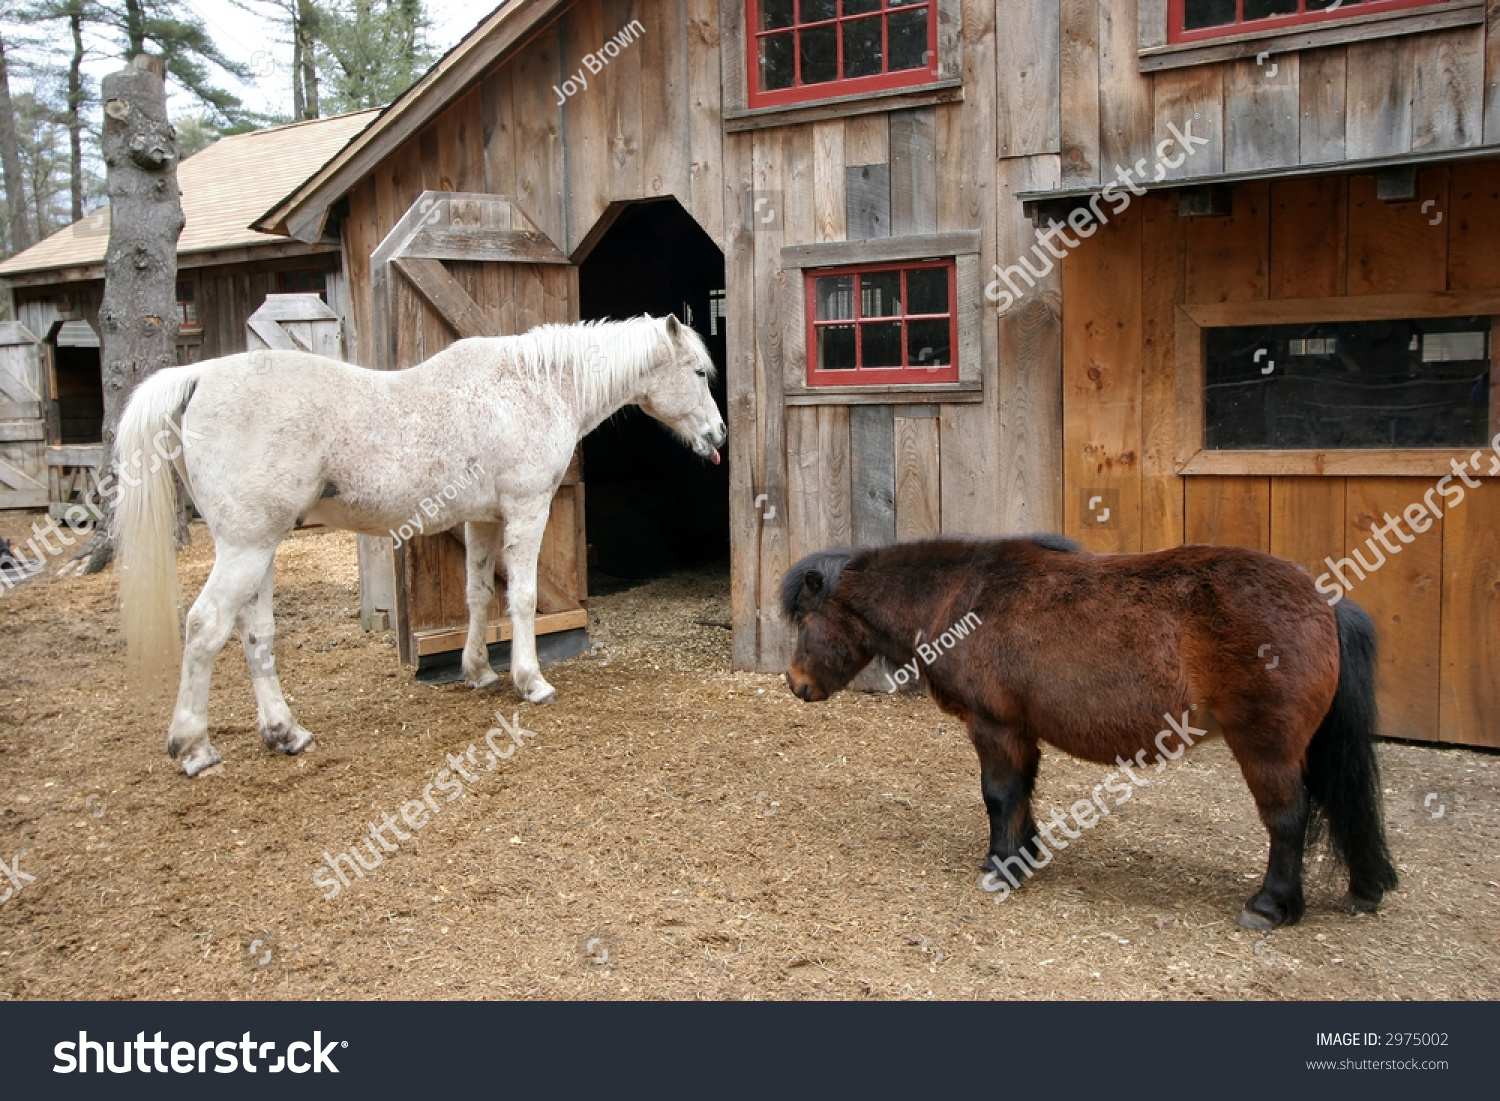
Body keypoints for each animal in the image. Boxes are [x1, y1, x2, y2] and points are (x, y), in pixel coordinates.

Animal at [117, 312, 726, 774]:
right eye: (699, 371)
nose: (718, 434)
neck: (532, 387)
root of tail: (198, 376)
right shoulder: (527, 511)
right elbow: (524, 598)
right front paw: (530, 681)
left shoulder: (483, 521)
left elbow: (480, 596)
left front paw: (478, 671)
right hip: (245, 547)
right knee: (205, 627)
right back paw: (193, 748)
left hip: (260, 549)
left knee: (254, 633)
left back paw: (285, 732)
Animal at [780, 537, 1398, 930]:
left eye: (805, 620)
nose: (794, 683)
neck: (961, 597)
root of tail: (1324, 604)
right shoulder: (1020, 728)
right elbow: (1022, 793)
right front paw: (1024, 854)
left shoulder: (993, 726)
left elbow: (999, 795)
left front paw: (999, 867)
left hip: (1266, 748)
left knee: (1288, 820)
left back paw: (1270, 905)